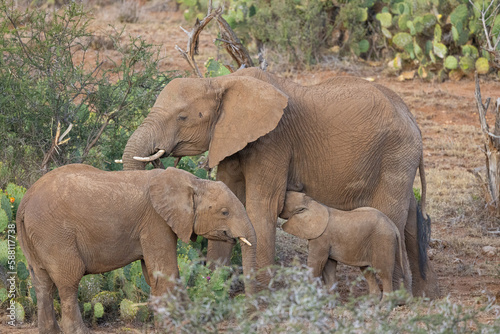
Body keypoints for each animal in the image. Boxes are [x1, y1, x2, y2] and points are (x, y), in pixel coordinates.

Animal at [17, 165, 256, 334]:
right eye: (224, 212)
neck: (192, 182)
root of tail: (24, 201)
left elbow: (153, 274)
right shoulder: (155, 222)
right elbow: (165, 271)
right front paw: (173, 328)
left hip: (35, 235)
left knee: (41, 282)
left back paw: (50, 331)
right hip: (55, 234)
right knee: (69, 279)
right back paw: (79, 331)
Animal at [123, 67, 440, 298]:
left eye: (183, 117)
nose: (156, 158)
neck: (222, 81)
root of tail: (413, 119)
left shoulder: (273, 141)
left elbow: (262, 207)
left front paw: (259, 298)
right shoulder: (231, 140)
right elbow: (231, 197)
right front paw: (214, 292)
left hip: (395, 155)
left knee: (392, 216)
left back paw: (397, 298)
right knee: (410, 221)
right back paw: (424, 296)